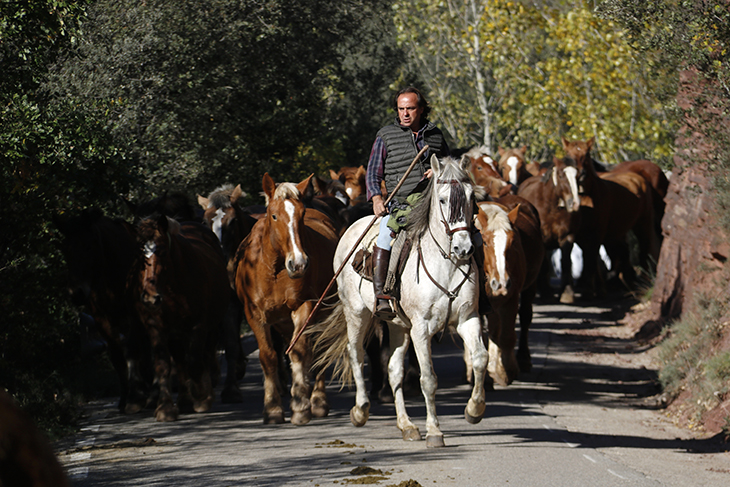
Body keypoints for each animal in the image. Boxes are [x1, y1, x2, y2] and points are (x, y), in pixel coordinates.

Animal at [132, 215, 229, 422]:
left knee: (203, 355)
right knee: (180, 361)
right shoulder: (157, 328)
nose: (149, 297)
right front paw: (165, 408)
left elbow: (195, 362)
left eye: (161, 251)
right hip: (175, 333)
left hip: (211, 326)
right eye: (140, 254)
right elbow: (163, 366)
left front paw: (202, 397)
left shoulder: (198, 326)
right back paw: (184, 400)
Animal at [233, 173, 338, 426]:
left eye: (301, 214)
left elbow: (299, 352)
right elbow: (269, 357)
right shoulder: (254, 315)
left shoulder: (304, 307)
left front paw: (300, 406)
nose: (299, 263)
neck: (273, 269)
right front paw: (272, 408)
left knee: (319, 350)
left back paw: (318, 400)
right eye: (274, 215)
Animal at [314, 154, 490, 448]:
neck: (446, 264)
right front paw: (434, 431)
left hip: (397, 325)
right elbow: (428, 378)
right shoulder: (421, 328)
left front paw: (474, 410)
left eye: (470, 197)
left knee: (394, 369)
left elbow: (480, 359)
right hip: (357, 313)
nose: (463, 248)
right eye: (443, 200)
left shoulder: (468, 319)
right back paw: (360, 410)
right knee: (355, 353)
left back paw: (406, 425)